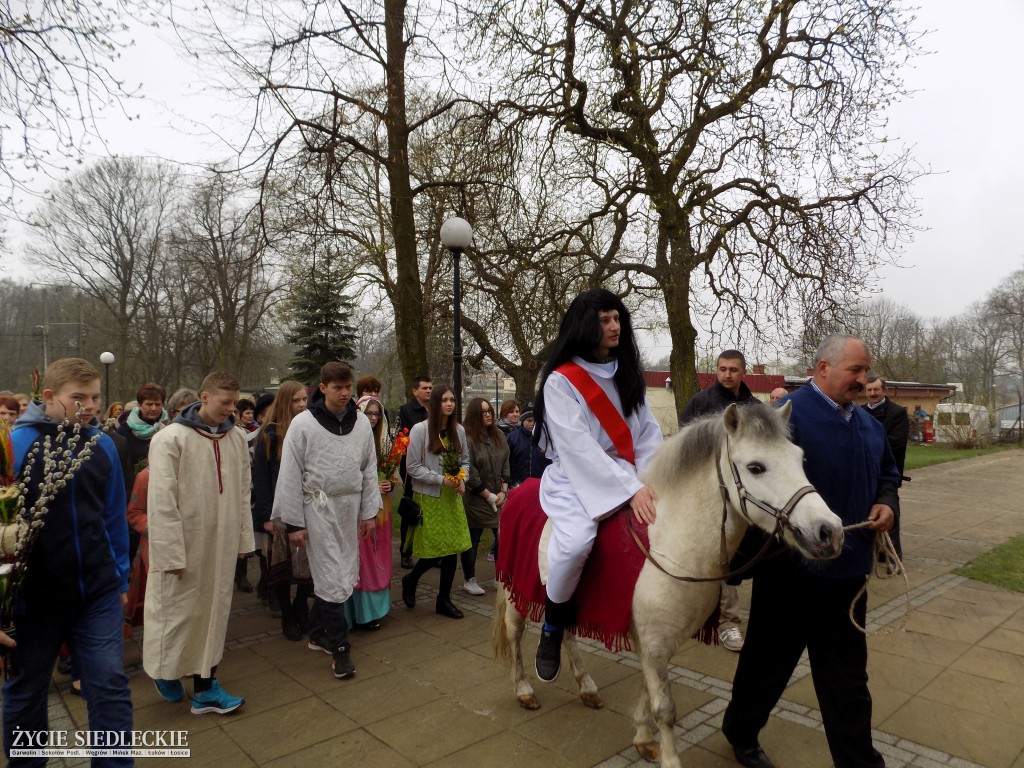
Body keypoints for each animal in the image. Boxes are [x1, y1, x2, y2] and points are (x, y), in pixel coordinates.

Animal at [491, 403, 843, 768]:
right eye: (756, 467)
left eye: (800, 458)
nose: (829, 531)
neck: (671, 545)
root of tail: (516, 490)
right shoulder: (654, 645)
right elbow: (666, 709)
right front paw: (669, 758)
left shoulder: (659, 644)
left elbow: (650, 694)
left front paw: (644, 739)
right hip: (517, 596)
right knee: (516, 634)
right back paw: (524, 690)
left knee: (567, 630)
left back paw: (586, 687)